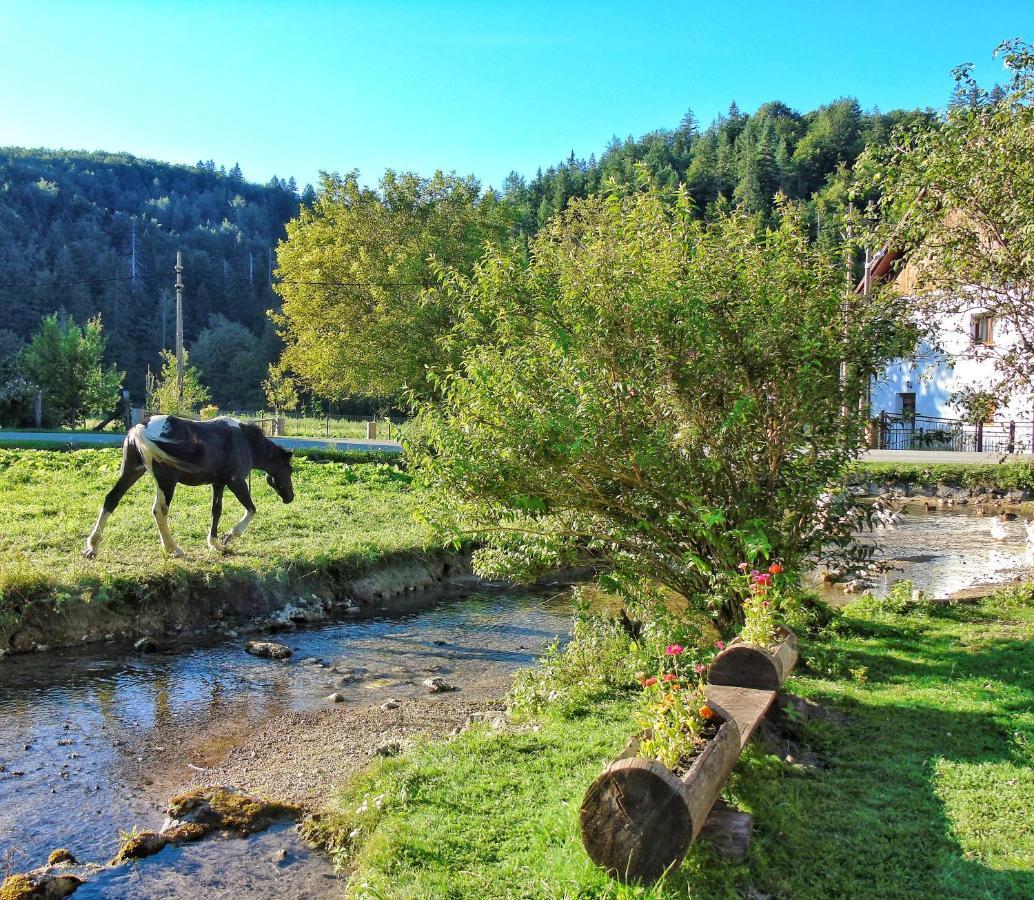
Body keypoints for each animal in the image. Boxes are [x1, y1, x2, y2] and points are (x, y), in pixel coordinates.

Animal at [82, 417, 293, 558]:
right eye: (289, 470)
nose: (290, 497)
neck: (244, 440)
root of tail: (140, 428)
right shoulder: (236, 481)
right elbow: (251, 509)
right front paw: (229, 536)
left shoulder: (218, 483)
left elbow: (216, 511)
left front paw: (215, 543)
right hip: (166, 482)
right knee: (159, 511)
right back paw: (173, 548)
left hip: (132, 472)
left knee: (111, 499)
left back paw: (92, 546)